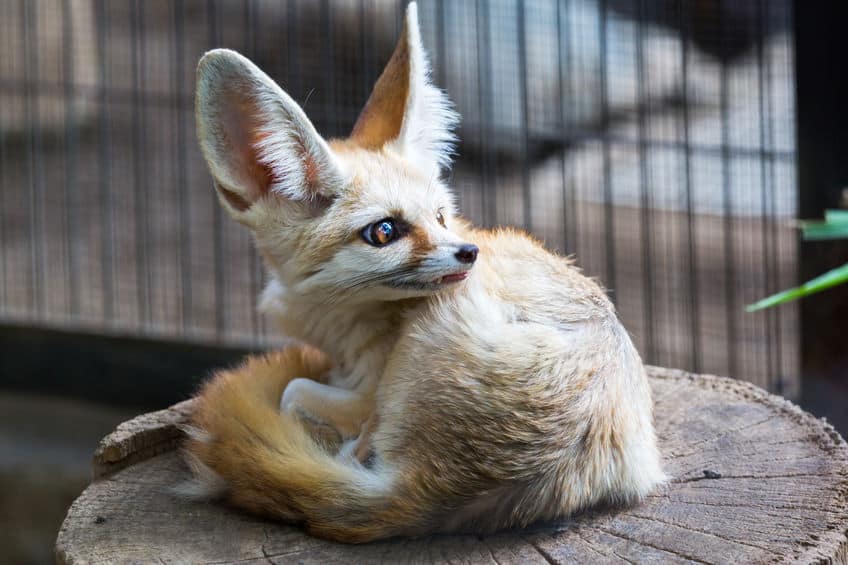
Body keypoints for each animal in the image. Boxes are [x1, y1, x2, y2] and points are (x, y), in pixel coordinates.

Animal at [187, 3, 668, 540]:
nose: (469, 252)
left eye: (440, 216)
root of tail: (430, 492)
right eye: (383, 232)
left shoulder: (367, 393)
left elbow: (297, 393)